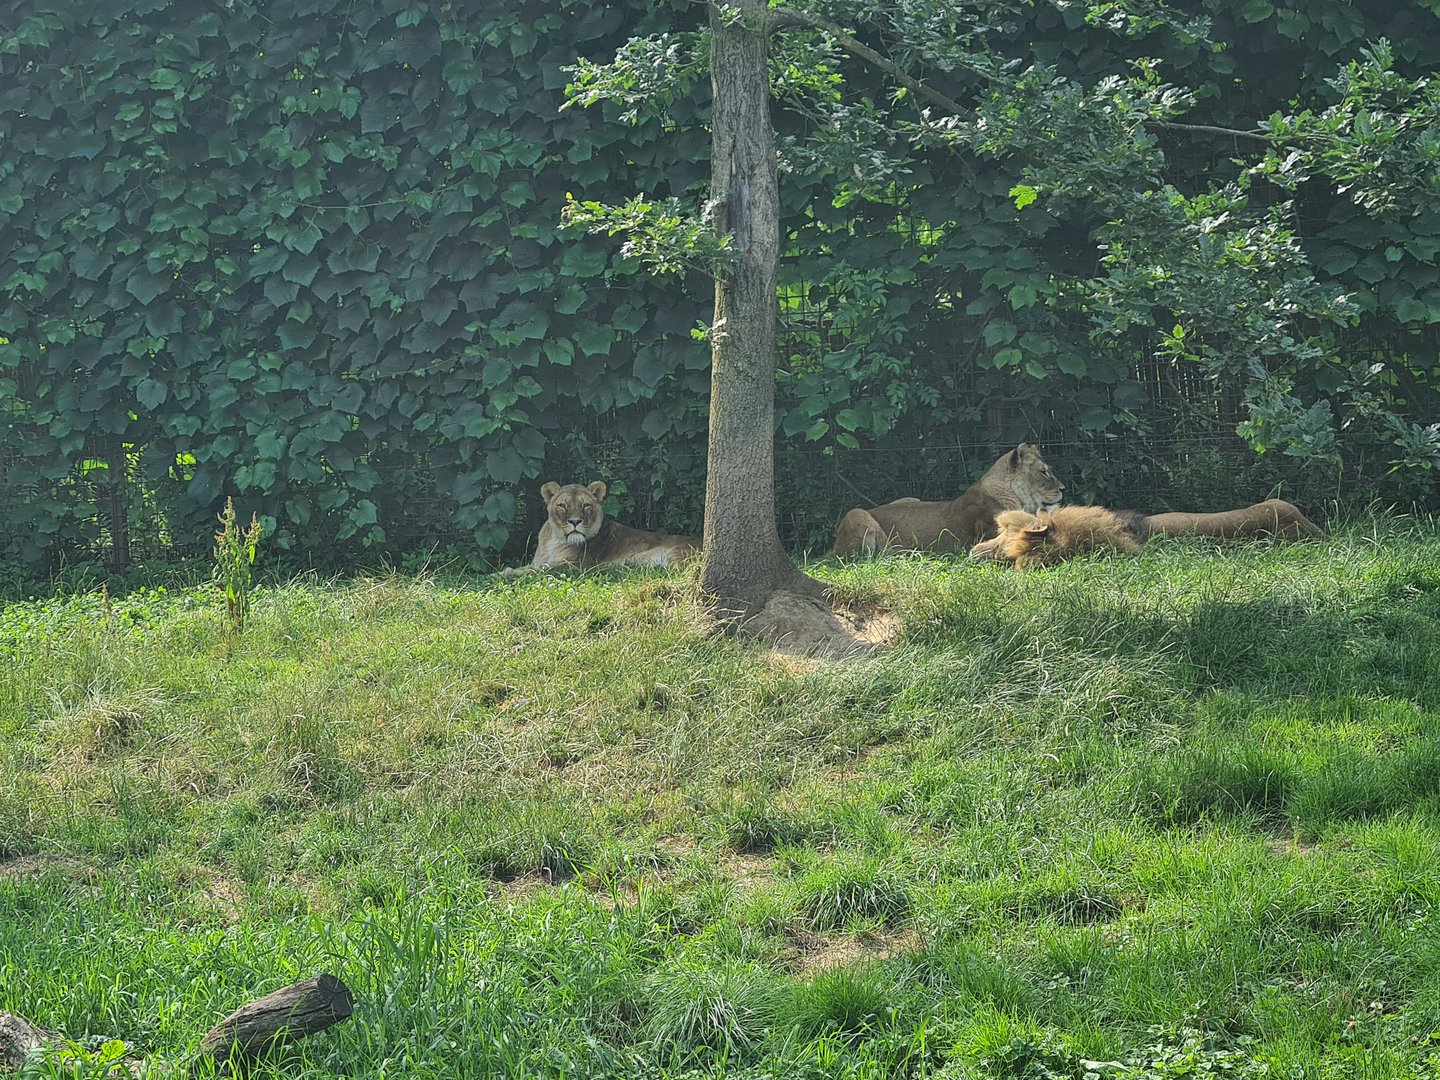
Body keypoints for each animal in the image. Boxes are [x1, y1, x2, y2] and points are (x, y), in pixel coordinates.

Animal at [500, 480, 700, 578]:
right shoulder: (539, 561)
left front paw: (507, 573)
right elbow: (530, 567)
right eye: (562, 505)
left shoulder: (574, 566)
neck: (555, 540)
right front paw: (502, 572)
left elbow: (539, 570)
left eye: (586, 505)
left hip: (675, 554)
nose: (575, 521)